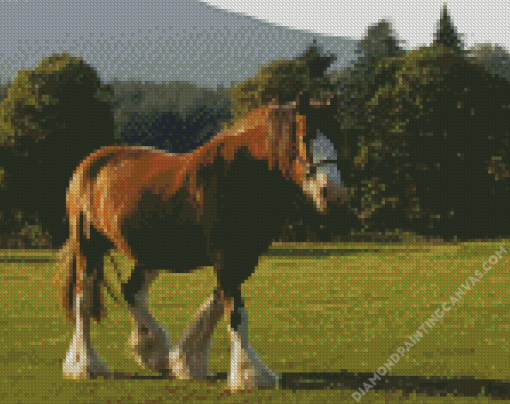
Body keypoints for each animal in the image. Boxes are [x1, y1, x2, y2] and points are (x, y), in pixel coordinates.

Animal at [58, 92, 346, 392]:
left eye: (338, 136)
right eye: (304, 137)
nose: (333, 194)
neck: (242, 174)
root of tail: (88, 164)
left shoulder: (243, 259)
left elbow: (218, 304)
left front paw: (188, 360)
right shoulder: (226, 257)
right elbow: (235, 313)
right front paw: (249, 375)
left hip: (151, 254)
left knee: (132, 292)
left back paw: (154, 351)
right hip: (89, 248)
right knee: (83, 300)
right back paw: (86, 365)